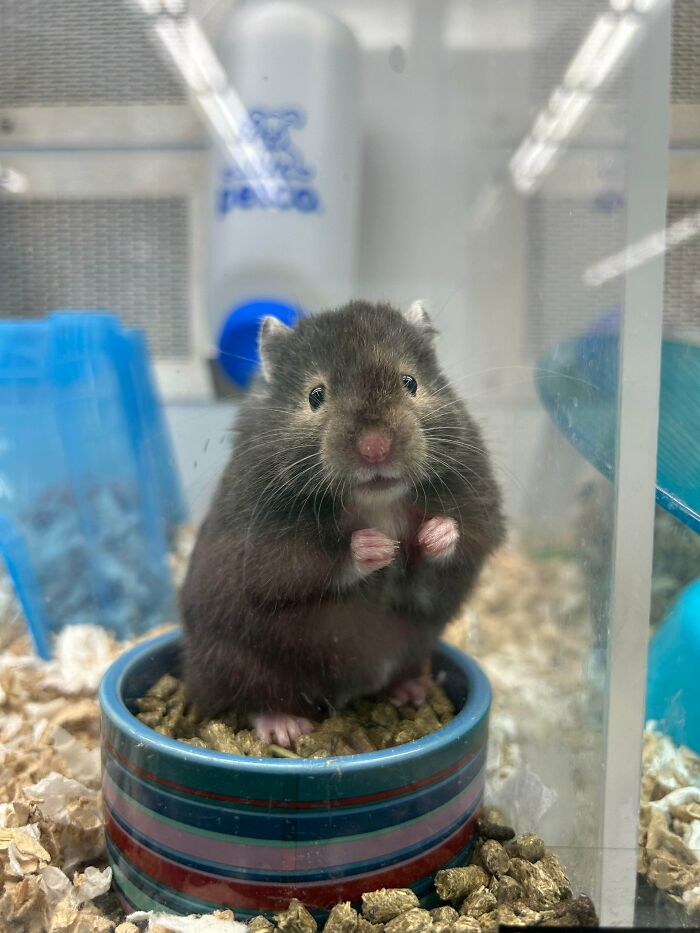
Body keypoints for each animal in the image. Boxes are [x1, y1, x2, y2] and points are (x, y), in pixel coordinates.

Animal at [181, 300, 505, 746]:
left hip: (415, 644)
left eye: (410, 383)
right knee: (253, 697)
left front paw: (432, 534)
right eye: (316, 396)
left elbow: (455, 545)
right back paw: (285, 728)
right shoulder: (265, 550)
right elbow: (311, 564)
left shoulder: (475, 525)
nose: (375, 448)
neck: (377, 501)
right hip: (235, 659)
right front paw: (379, 546)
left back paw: (413, 690)